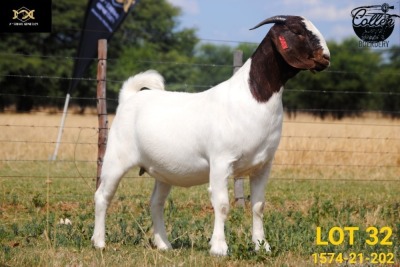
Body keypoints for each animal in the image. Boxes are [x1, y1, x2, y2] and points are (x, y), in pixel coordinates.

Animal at [92, 15, 330, 258]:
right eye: (297, 31)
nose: (326, 58)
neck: (252, 97)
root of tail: (129, 98)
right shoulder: (221, 161)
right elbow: (222, 203)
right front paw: (219, 248)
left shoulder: (263, 165)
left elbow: (258, 205)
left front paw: (262, 246)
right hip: (116, 158)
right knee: (102, 196)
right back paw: (99, 242)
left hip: (163, 171)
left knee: (156, 203)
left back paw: (164, 245)